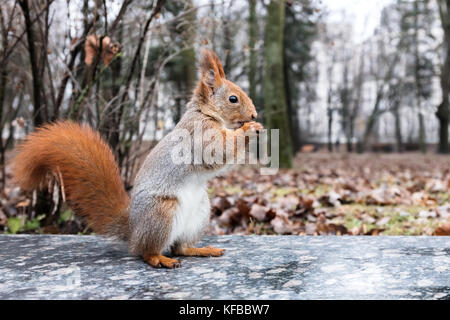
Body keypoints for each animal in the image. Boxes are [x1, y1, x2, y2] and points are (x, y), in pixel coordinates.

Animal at [12, 49, 264, 268]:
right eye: (233, 99)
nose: (254, 114)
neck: (206, 114)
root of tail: (133, 231)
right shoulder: (199, 133)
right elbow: (218, 151)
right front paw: (248, 130)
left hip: (200, 213)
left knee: (180, 247)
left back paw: (201, 250)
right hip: (161, 213)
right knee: (147, 252)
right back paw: (160, 260)